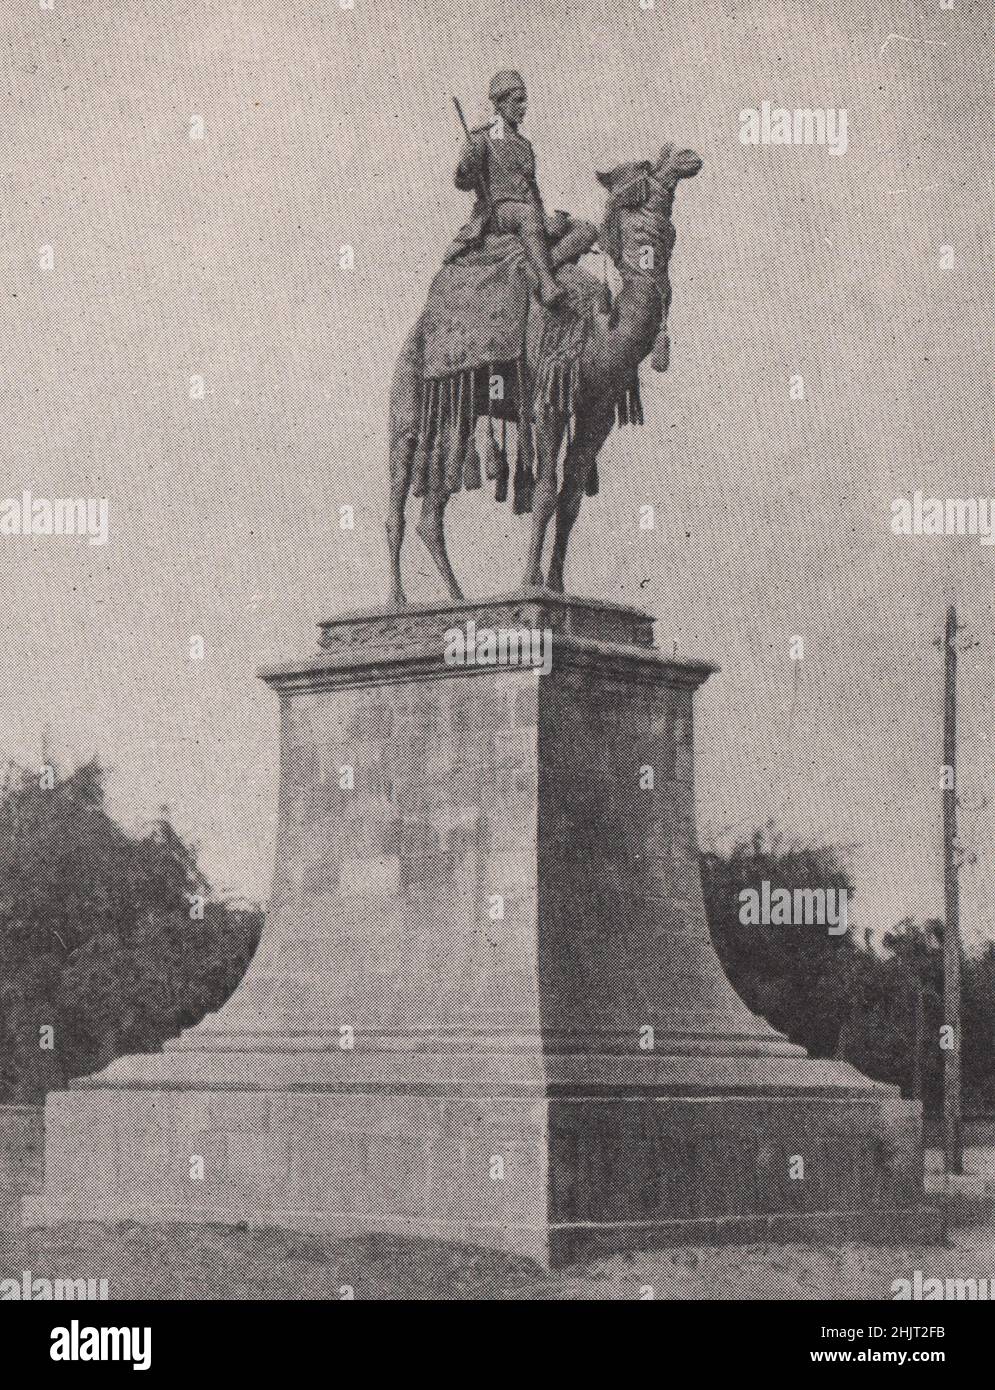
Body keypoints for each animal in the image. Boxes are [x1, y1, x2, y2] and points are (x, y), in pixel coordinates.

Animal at [383, 143, 703, 606]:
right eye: (646, 164)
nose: (685, 154)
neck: (598, 328)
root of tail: (418, 327)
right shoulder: (548, 403)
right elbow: (546, 493)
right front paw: (529, 583)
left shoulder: (596, 413)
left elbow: (571, 499)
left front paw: (556, 586)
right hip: (408, 398)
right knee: (398, 497)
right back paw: (397, 600)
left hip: (456, 415)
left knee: (432, 511)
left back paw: (458, 599)